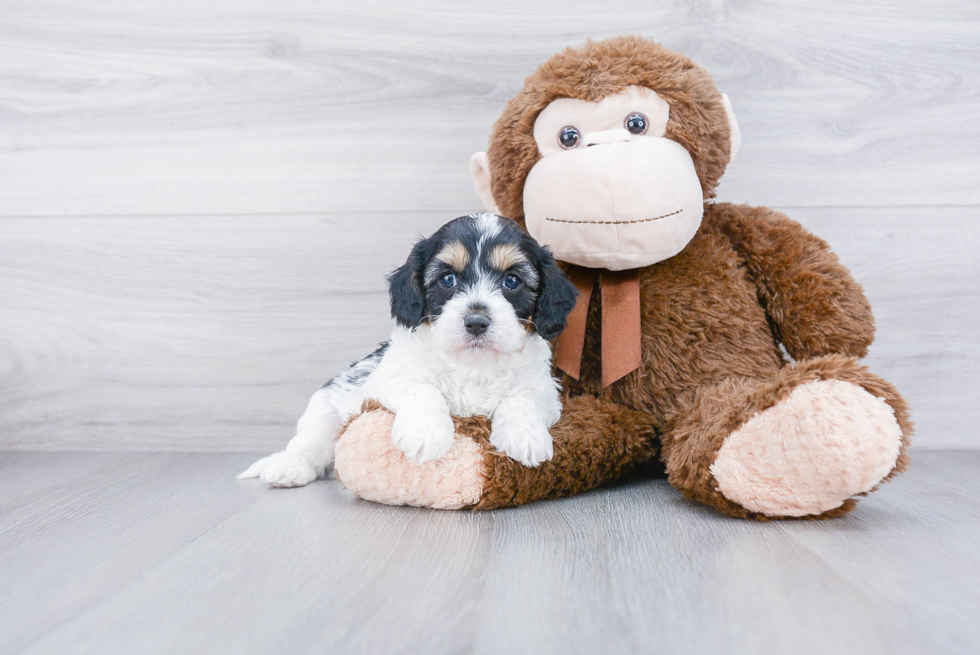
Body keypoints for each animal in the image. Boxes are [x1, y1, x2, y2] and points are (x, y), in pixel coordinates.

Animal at [237, 213, 576, 490]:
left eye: (512, 281)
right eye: (447, 279)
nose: (476, 322)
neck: (473, 362)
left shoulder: (545, 390)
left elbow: (522, 398)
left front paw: (524, 438)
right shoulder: (387, 380)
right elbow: (423, 389)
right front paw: (425, 434)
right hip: (323, 411)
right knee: (308, 444)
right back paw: (288, 467)